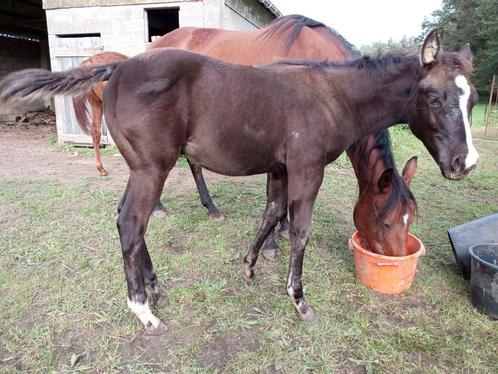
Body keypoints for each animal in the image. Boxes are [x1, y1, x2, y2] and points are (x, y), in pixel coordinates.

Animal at [73, 16, 416, 258]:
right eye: (385, 222)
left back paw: (209, 207)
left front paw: (283, 229)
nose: (398, 259)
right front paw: (271, 246)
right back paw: (161, 206)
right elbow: (272, 198)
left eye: (411, 218)